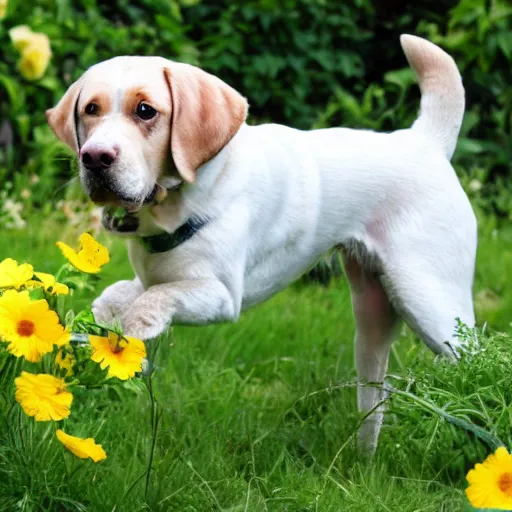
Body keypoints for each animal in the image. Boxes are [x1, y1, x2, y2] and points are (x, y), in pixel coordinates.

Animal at [47, 36, 476, 452]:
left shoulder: (222, 297)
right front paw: (102, 319)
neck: (174, 207)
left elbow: (158, 297)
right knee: (375, 402)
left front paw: (135, 326)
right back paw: (364, 462)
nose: (94, 157)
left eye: (145, 111)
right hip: (372, 320)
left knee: (474, 363)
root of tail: (423, 142)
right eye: (90, 109)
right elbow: (118, 294)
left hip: (429, 303)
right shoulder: (152, 277)